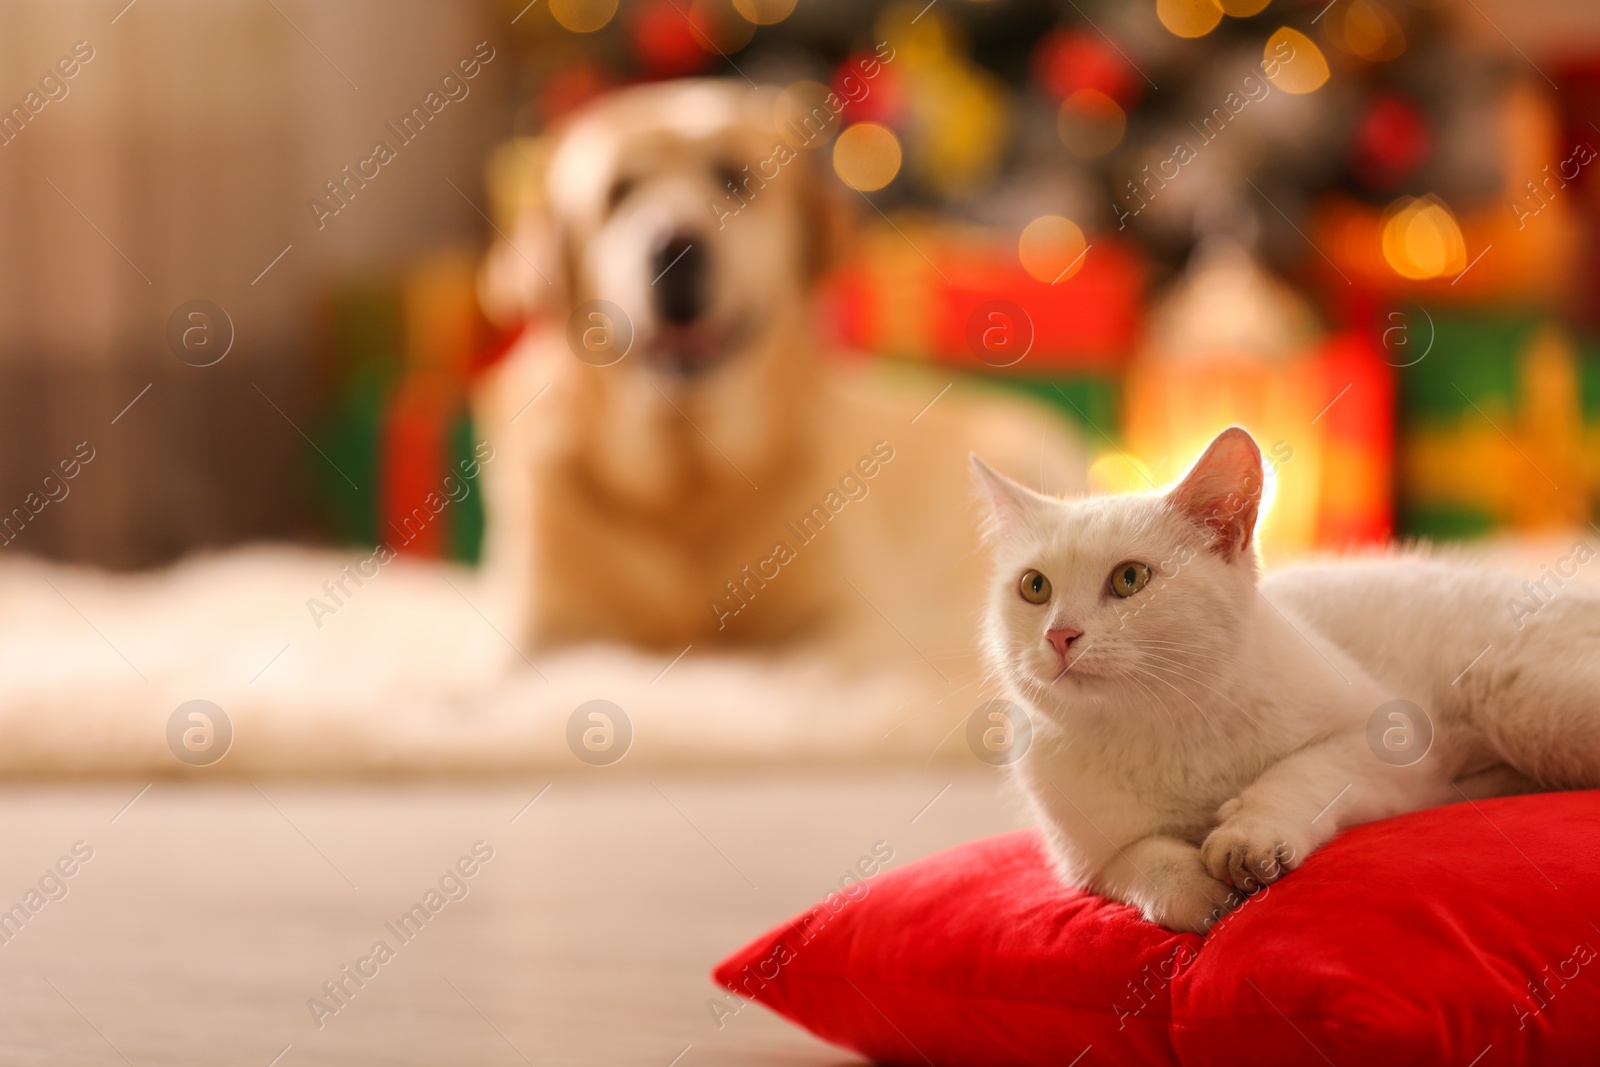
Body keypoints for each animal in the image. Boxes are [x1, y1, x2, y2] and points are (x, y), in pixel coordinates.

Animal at [467, 79, 1081, 671]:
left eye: (734, 179)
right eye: (618, 193)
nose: (673, 248)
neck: (685, 491)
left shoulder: (841, 629)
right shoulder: (544, 637)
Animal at [966, 428, 1600, 927]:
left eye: (1129, 579)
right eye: (1035, 587)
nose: (1059, 635)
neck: (1164, 728)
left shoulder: (1391, 747)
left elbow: (1300, 771)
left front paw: (1248, 838)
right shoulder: (1084, 855)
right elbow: (1144, 861)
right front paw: (1198, 894)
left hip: (1532, 706)